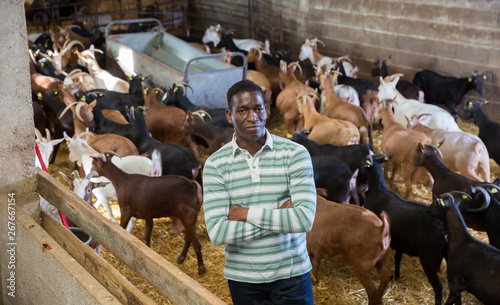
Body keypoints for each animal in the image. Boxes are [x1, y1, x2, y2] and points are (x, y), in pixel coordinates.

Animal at [362, 154, 448, 304]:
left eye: (365, 163)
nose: (359, 170)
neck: (378, 190)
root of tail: (443, 230)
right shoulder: (400, 240)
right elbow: (398, 257)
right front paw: (396, 276)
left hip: (429, 260)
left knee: (438, 288)